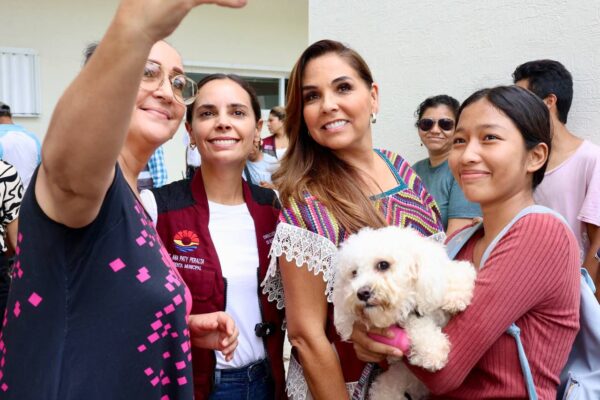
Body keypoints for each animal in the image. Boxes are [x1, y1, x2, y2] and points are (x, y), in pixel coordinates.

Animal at [332, 227, 474, 398]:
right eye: (354, 273)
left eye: (383, 265)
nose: (362, 293)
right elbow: (417, 326)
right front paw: (431, 350)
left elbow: (454, 273)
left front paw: (455, 295)